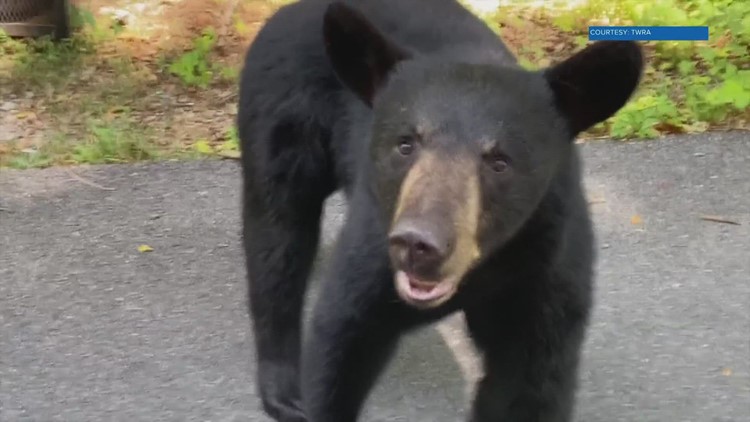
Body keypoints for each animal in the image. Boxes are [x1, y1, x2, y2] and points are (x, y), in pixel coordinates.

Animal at [237, 1, 644, 421]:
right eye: (405, 143)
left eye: (500, 161)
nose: (419, 244)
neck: (480, 272)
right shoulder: (373, 245)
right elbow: (340, 340)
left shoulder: (547, 270)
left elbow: (530, 386)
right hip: (282, 117)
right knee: (276, 236)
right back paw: (283, 388)